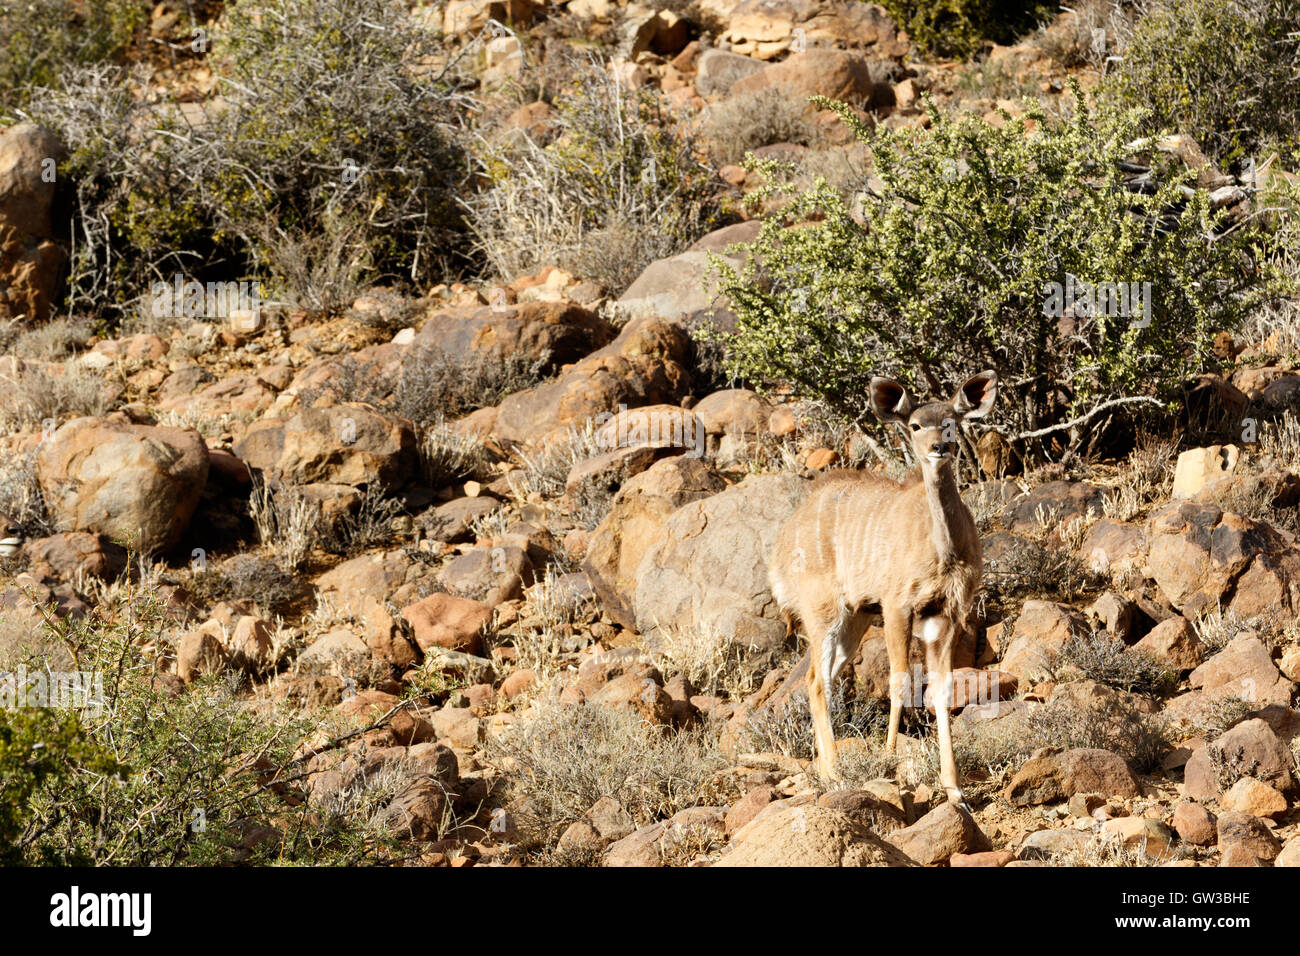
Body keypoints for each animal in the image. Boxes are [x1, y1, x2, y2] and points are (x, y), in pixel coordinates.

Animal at [769, 369, 993, 806]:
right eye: (915, 425)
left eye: (951, 422)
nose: (939, 447)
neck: (944, 549)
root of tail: (782, 546)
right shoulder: (896, 606)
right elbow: (899, 680)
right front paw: (891, 764)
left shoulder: (944, 613)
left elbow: (941, 689)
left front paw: (954, 788)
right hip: (823, 610)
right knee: (817, 681)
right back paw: (835, 774)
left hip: (854, 618)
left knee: (821, 678)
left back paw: (825, 770)